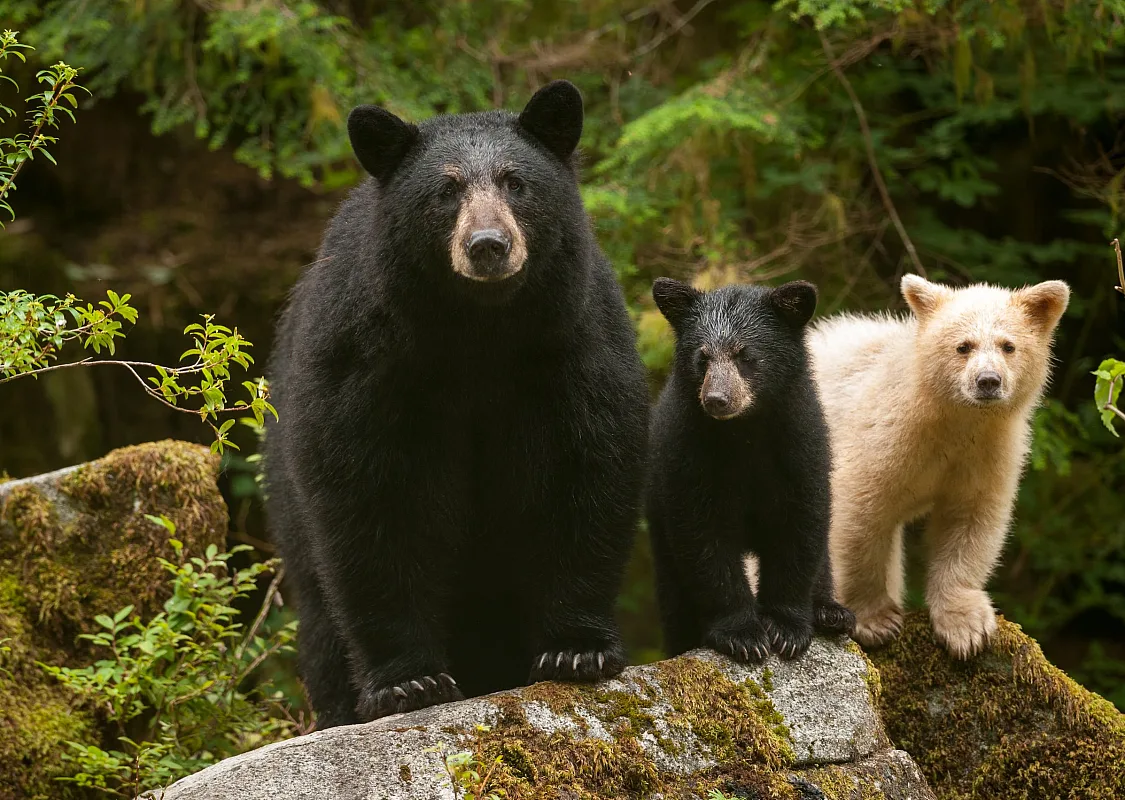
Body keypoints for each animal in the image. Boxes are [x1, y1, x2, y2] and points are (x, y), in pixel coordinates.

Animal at [263, 80, 650, 728]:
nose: (488, 246)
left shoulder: (571, 345)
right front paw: (408, 682)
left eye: (516, 182)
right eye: (446, 190)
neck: (478, 332)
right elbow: (371, 501)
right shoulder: (368, 362)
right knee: (318, 615)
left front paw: (576, 651)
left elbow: (584, 472)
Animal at [645, 278, 855, 664]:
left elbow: (799, 529)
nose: (716, 399)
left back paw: (831, 612)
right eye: (702, 357)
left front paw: (787, 628)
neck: (744, 433)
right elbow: (704, 539)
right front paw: (742, 635)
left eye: (745, 355)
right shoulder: (688, 454)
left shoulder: (801, 447)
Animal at [808, 274, 1070, 658]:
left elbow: (970, 520)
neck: (949, 419)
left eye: (1008, 346)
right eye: (964, 346)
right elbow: (860, 514)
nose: (988, 381)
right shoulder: (883, 435)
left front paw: (967, 628)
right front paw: (875, 620)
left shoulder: (986, 452)